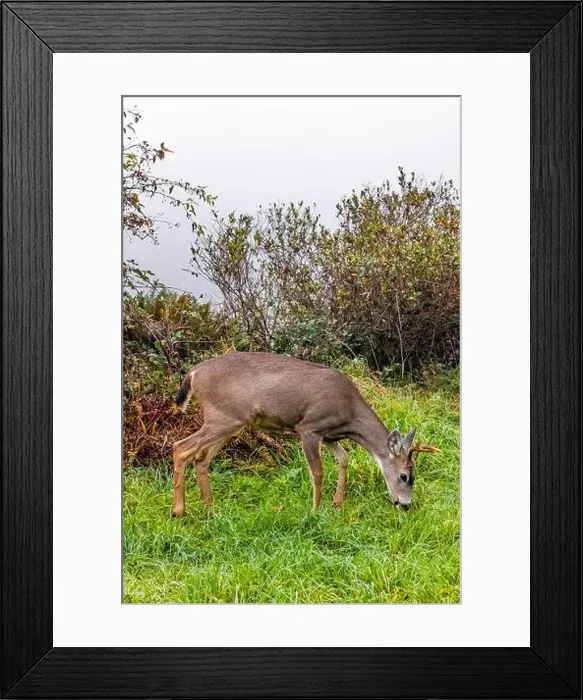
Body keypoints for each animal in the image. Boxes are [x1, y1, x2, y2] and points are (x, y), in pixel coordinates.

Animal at [171, 351, 438, 517]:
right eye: (404, 476)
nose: (405, 505)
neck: (349, 412)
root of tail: (193, 374)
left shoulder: (330, 436)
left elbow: (344, 459)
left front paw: (337, 504)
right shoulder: (309, 428)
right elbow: (318, 472)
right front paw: (315, 510)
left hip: (231, 422)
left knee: (201, 459)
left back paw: (210, 508)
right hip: (223, 418)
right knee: (181, 447)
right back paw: (178, 511)